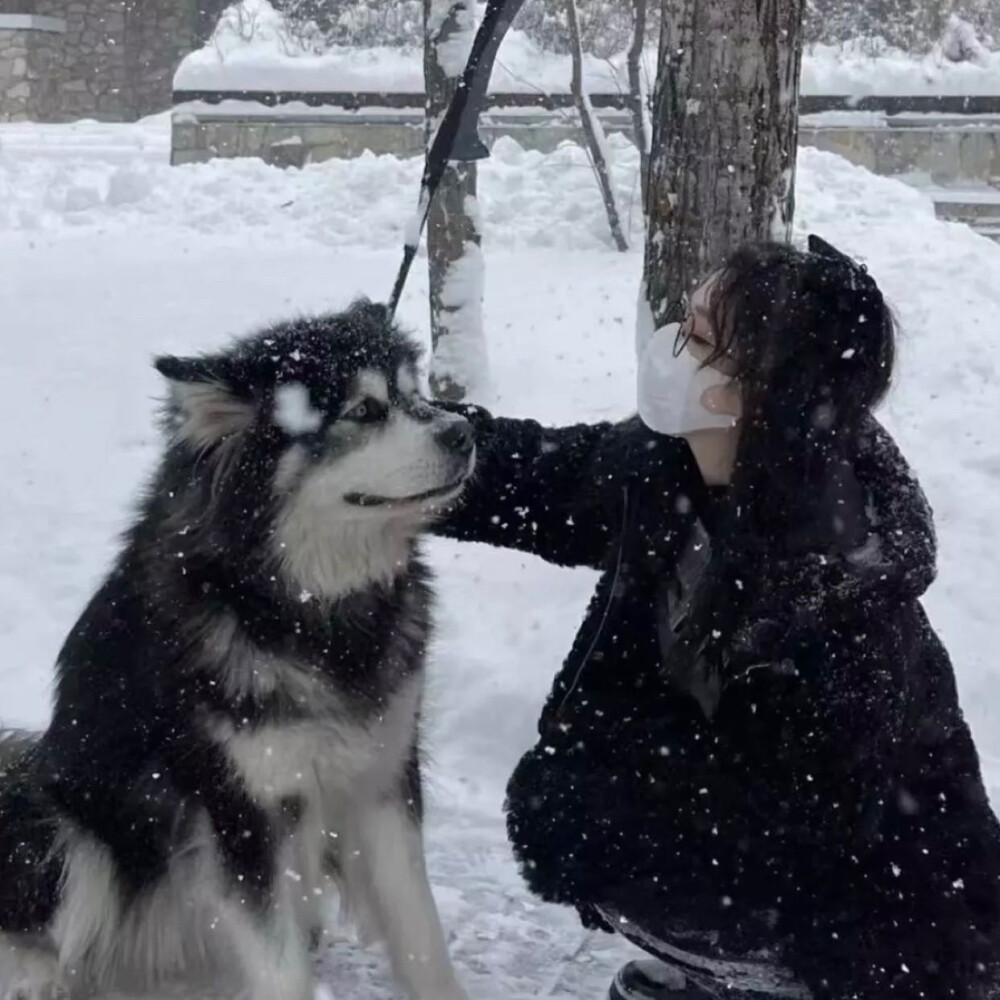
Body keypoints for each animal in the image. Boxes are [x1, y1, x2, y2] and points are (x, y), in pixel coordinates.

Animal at [0, 298, 474, 1000]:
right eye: (364, 411)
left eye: (415, 394)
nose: (465, 433)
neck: (306, 608)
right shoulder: (241, 810)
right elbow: (282, 966)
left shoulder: (382, 782)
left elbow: (421, 938)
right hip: (63, 821)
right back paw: (39, 971)